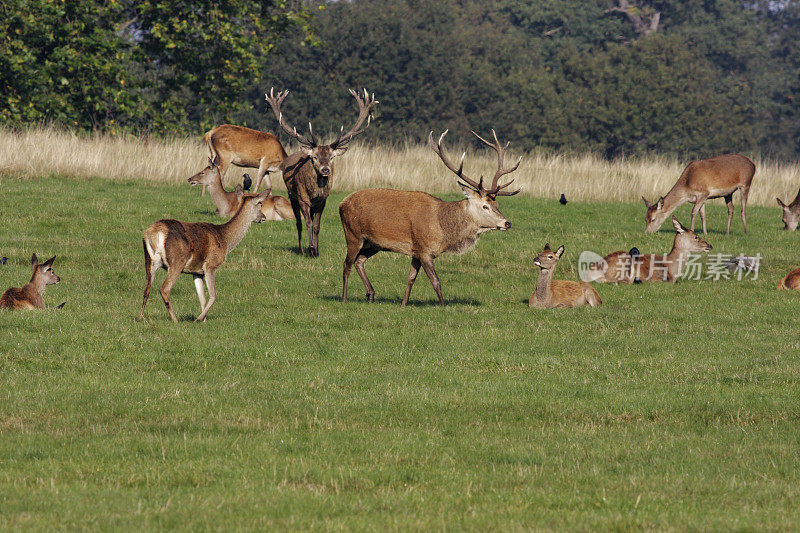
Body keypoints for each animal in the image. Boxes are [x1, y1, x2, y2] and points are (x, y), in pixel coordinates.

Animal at [138, 191, 272, 324]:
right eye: (260, 204)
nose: (264, 217)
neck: (225, 240)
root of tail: (154, 233)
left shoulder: (197, 272)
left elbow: (202, 298)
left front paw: (204, 320)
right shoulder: (210, 265)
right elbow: (213, 295)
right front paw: (198, 319)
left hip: (149, 260)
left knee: (146, 290)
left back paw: (140, 318)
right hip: (177, 261)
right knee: (165, 289)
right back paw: (175, 320)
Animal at [340, 128, 520, 308]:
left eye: (497, 205)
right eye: (485, 206)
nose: (507, 223)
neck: (443, 229)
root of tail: (342, 203)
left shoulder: (416, 252)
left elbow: (411, 279)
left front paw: (403, 304)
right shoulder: (425, 250)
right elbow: (436, 281)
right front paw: (443, 306)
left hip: (373, 243)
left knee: (359, 261)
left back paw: (370, 294)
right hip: (353, 235)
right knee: (347, 264)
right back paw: (344, 298)